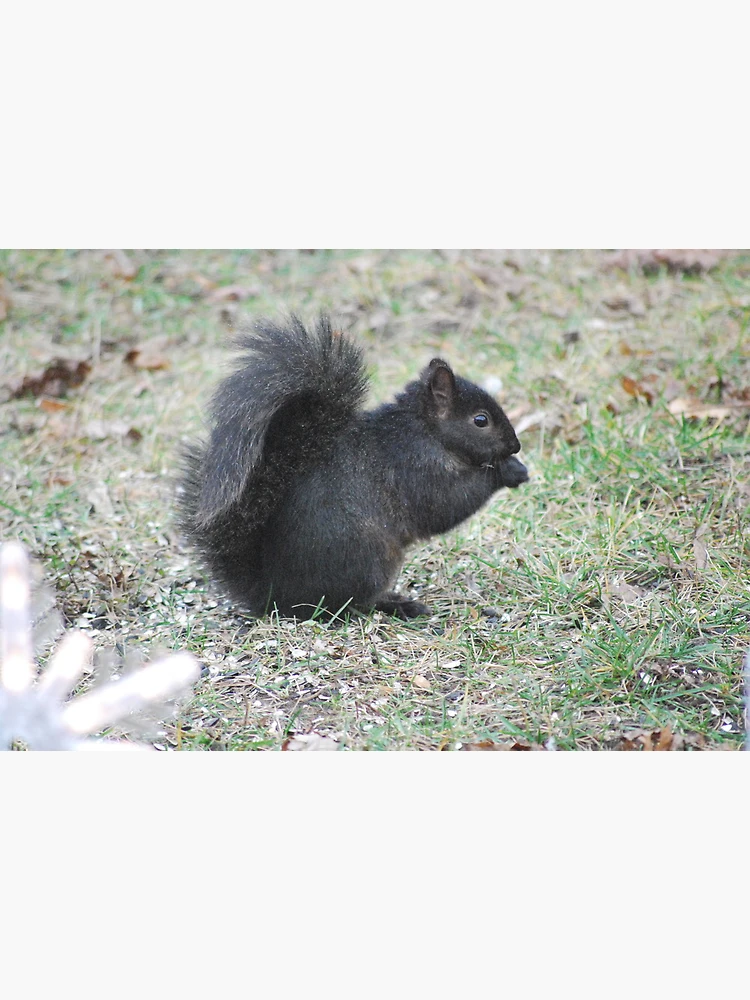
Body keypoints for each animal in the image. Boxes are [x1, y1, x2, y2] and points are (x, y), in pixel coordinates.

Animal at [177, 315, 528, 619]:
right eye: (480, 420)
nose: (515, 446)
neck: (424, 429)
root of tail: (274, 595)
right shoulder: (415, 467)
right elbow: (446, 503)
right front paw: (509, 471)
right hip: (370, 561)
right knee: (350, 605)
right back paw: (397, 605)